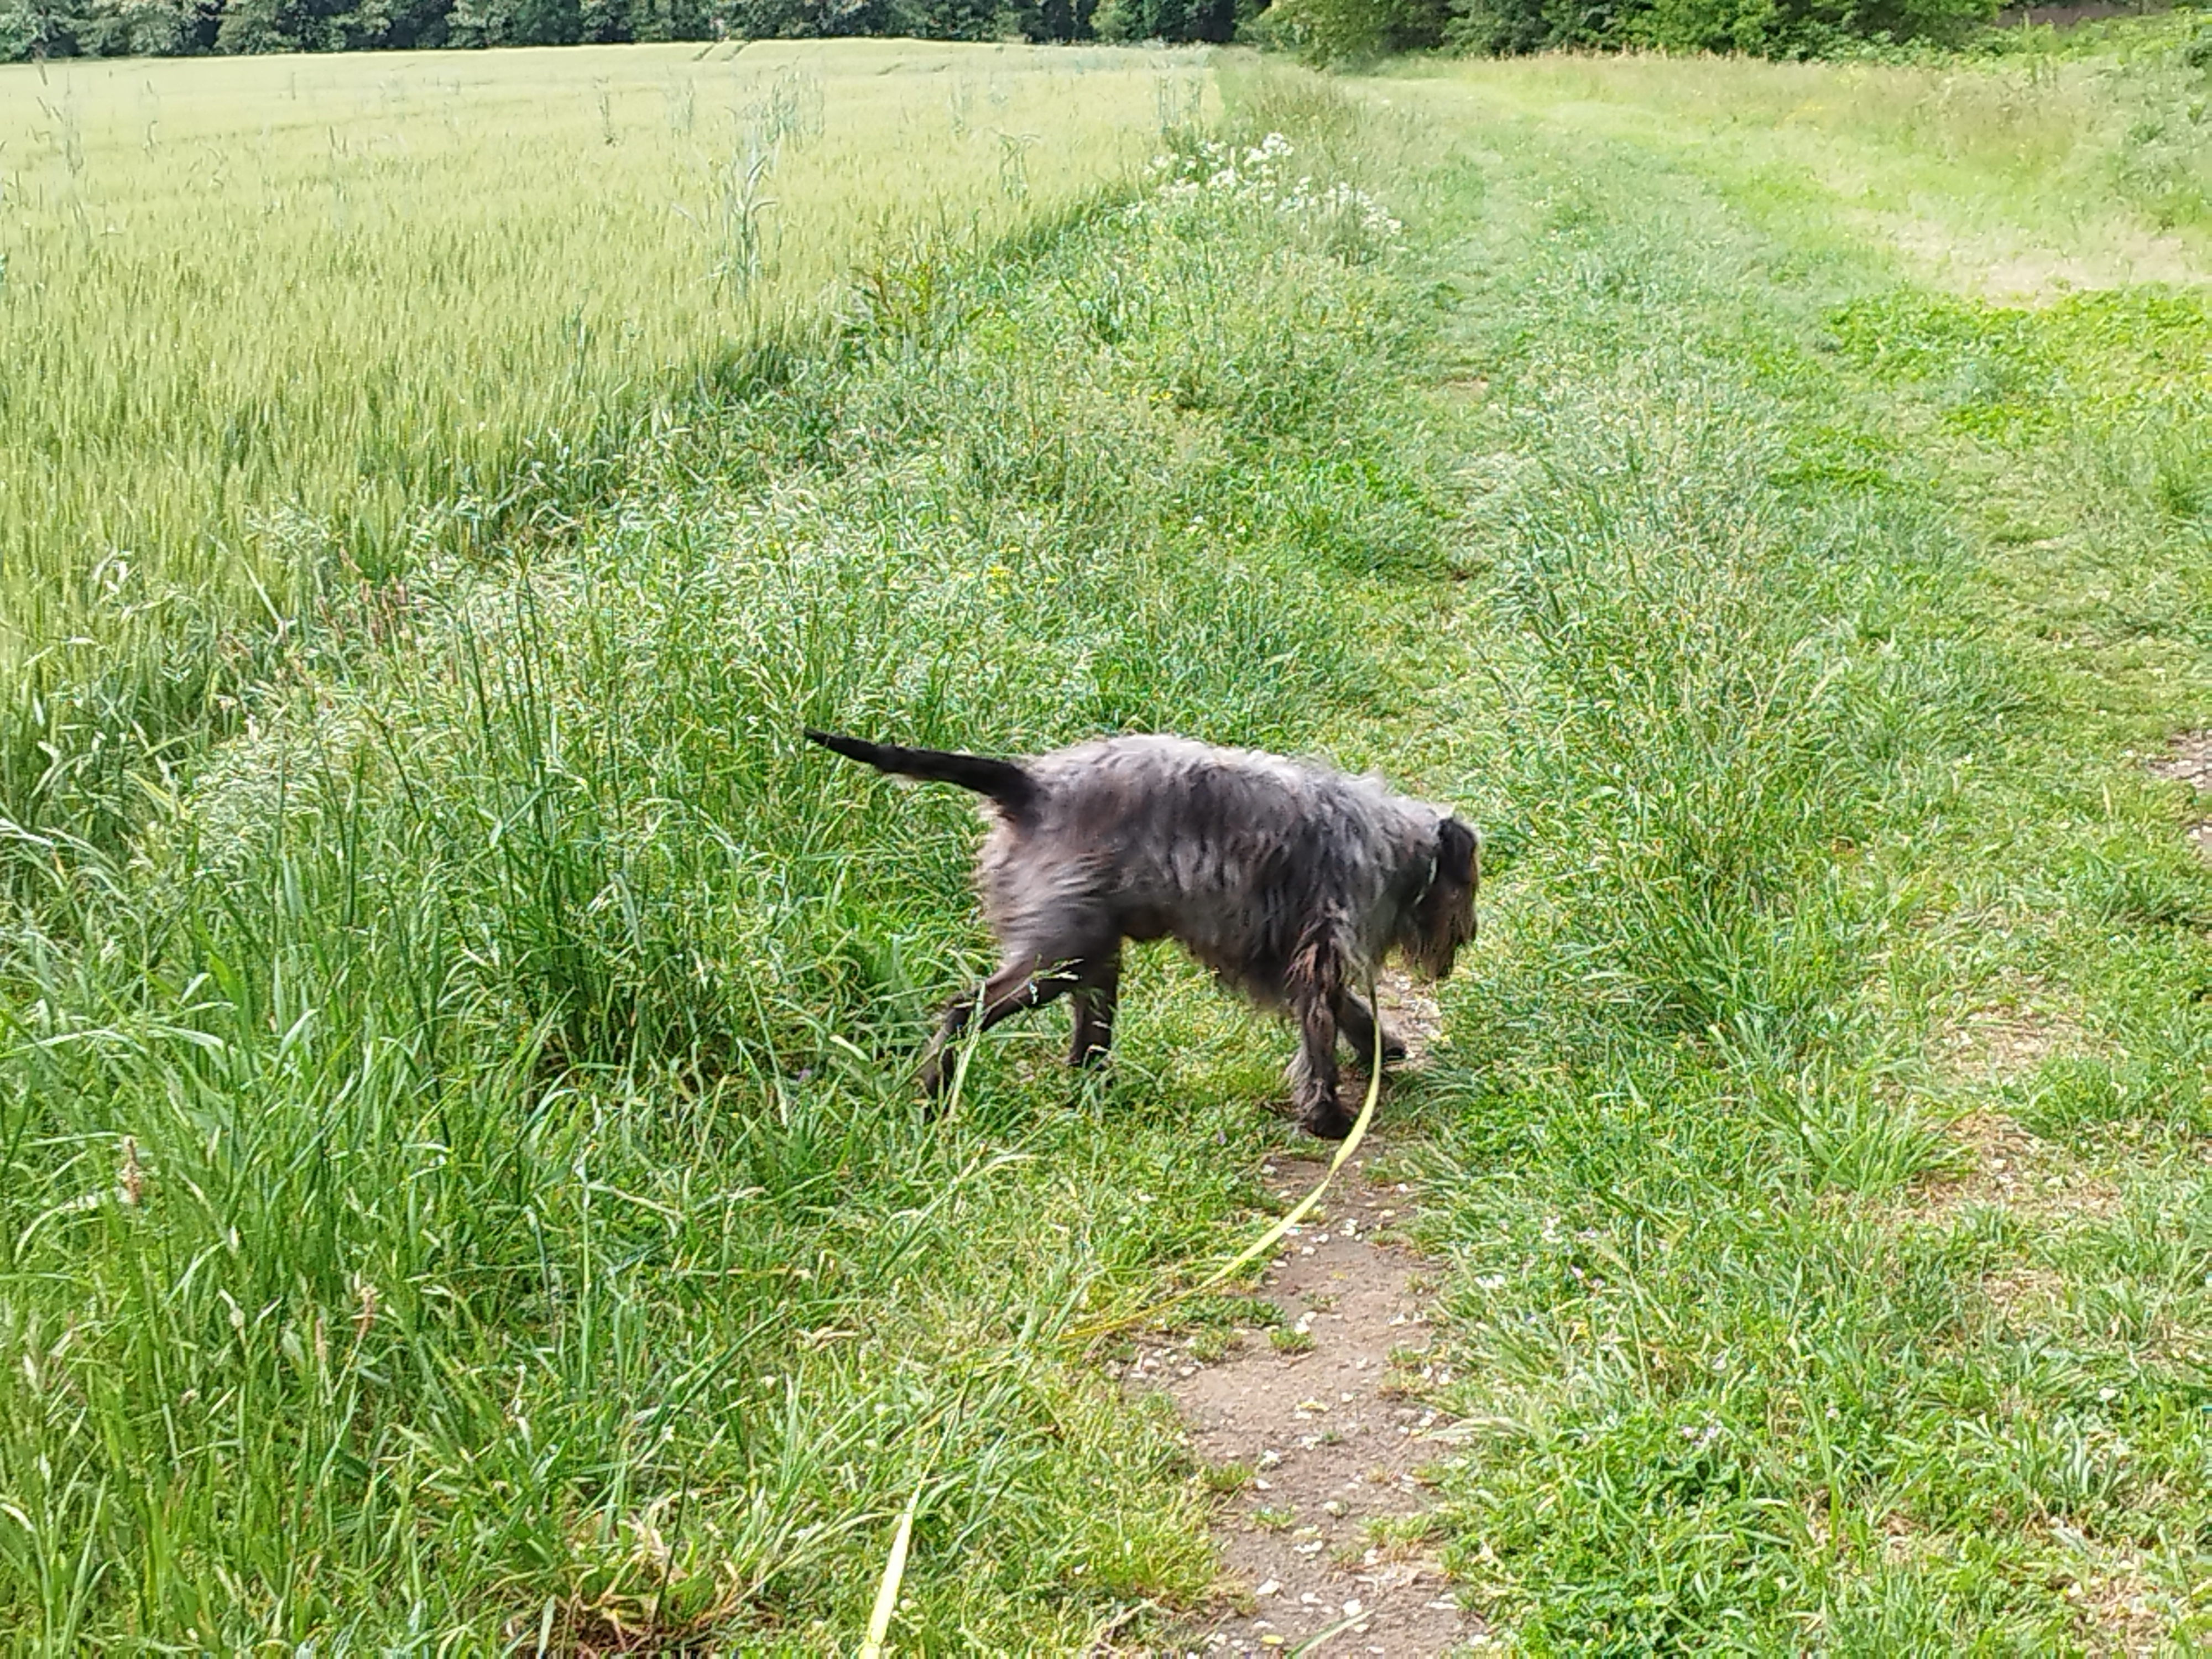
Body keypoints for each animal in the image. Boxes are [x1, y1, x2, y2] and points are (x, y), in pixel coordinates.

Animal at [807, 730, 1478, 1138]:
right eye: (1467, 888)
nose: (1470, 933)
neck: (1395, 847)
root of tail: (1029, 786)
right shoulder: (1317, 955)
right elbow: (1320, 1036)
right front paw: (1329, 1116)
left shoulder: (1291, 958)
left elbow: (1348, 1011)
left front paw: (1380, 1046)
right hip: (1058, 959)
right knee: (960, 1011)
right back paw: (935, 1093)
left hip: (1092, 963)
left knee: (1083, 1050)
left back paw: (1092, 1096)